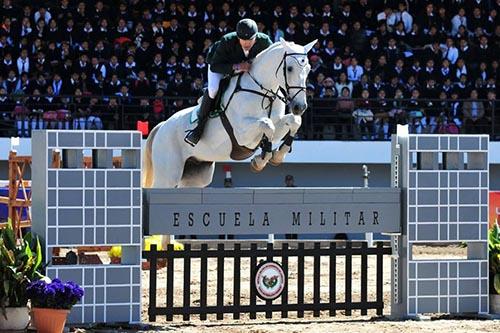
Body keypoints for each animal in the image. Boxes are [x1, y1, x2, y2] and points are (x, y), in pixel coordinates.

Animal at [143, 38, 314, 187]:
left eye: (308, 69)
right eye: (290, 68)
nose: (300, 107)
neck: (263, 91)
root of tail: (162, 126)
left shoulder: (277, 125)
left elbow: (293, 122)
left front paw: (278, 155)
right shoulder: (243, 134)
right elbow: (267, 125)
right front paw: (260, 160)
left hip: (196, 176)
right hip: (168, 174)